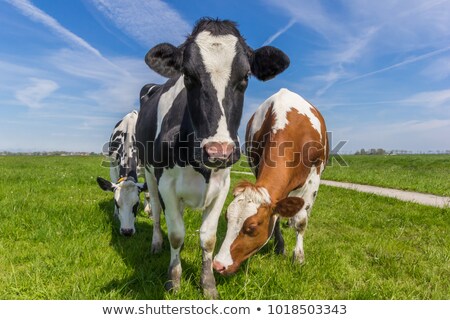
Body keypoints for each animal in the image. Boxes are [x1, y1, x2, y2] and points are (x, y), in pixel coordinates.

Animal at [135, 18, 290, 298]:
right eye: (188, 76)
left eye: (245, 77)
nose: (219, 151)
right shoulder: (166, 184)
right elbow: (176, 234)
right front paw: (174, 281)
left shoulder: (222, 185)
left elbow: (207, 237)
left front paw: (208, 285)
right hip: (149, 174)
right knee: (157, 214)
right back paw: (156, 243)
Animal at [213, 88, 328, 276]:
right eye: (227, 218)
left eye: (252, 228)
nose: (218, 265)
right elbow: (276, 217)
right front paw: (280, 246)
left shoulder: (314, 176)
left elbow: (301, 222)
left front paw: (299, 258)